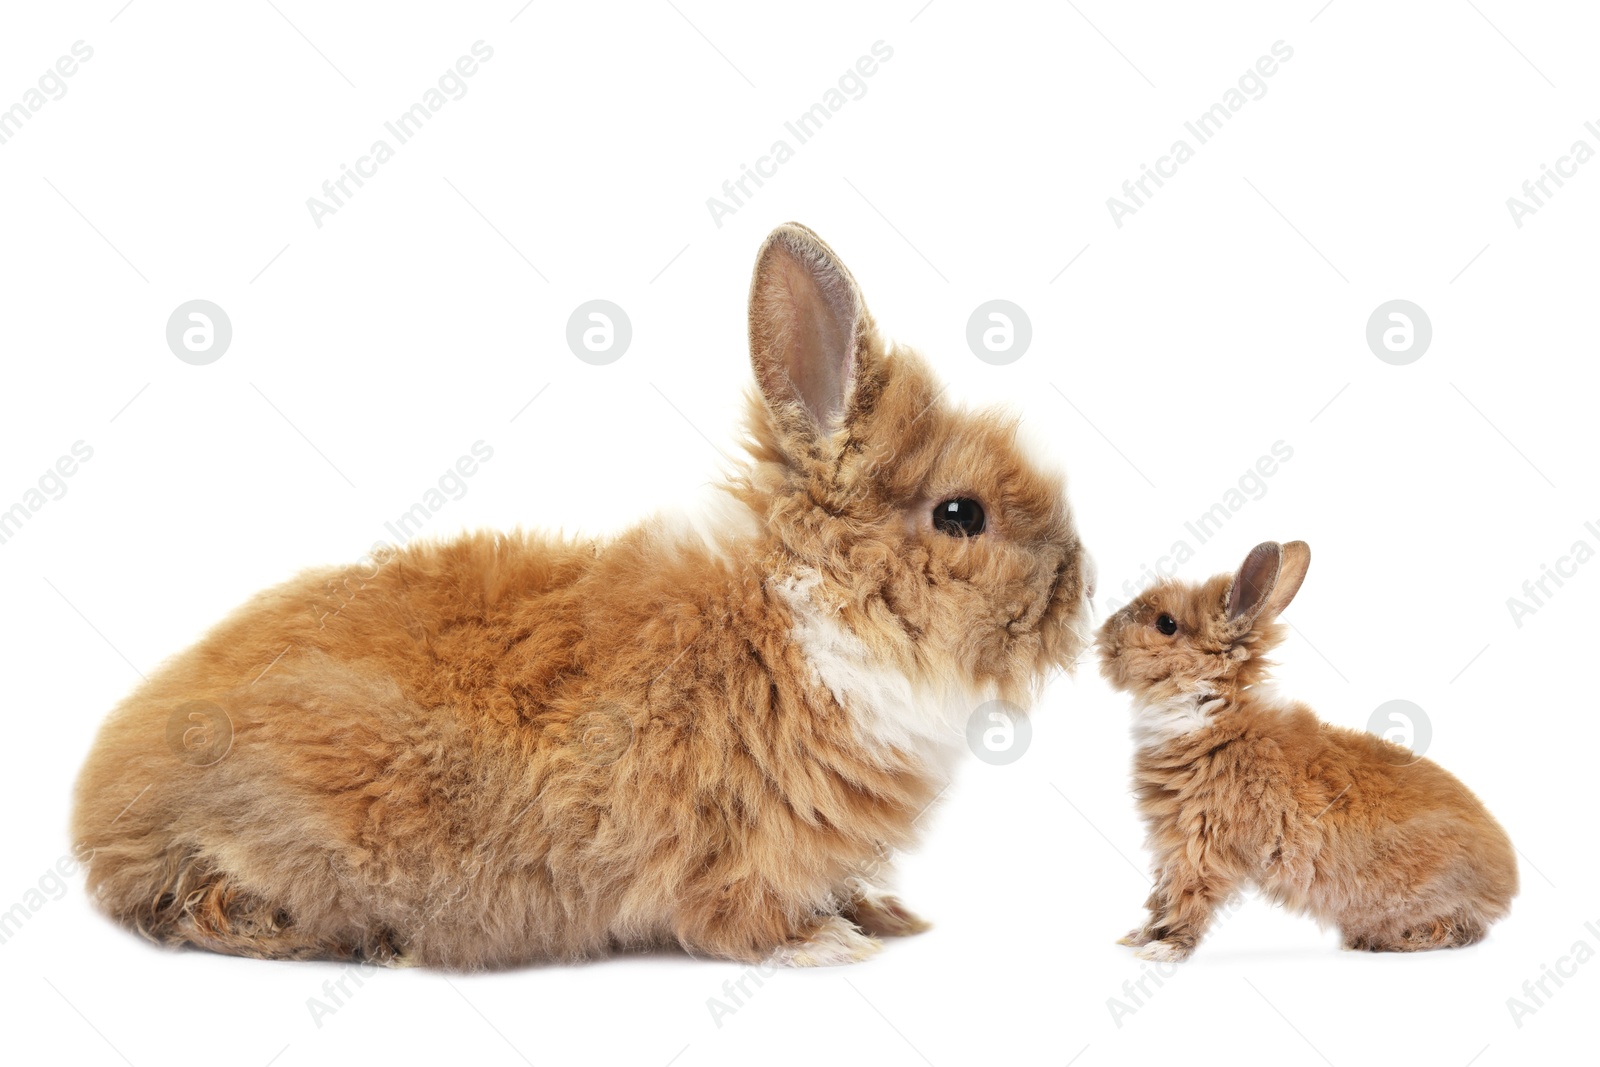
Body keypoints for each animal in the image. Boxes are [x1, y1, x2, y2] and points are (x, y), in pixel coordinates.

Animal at [75, 223, 1100, 966]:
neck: (806, 621)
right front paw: (827, 946)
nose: (1080, 582)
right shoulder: (732, 857)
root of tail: (101, 809)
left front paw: (885, 914)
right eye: (961, 514)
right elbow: (741, 921)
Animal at [1094, 537, 1516, 966]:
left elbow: (1187, 897)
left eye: (1166, 624)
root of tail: (1504, 885)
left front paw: (1163, 950)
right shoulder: (1173, 844)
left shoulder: (1200, 843)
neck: (1208, 709)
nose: (1105, 635)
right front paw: (1137, 939)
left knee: (1460, 929)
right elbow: (1161, 896)